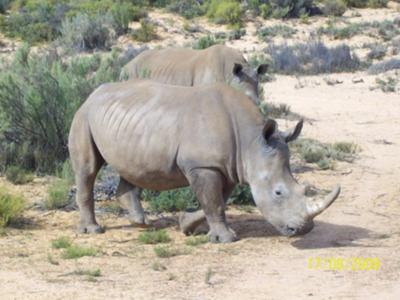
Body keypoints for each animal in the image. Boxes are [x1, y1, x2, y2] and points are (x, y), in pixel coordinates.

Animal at [69, 80, 340, 244]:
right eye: (278, 193)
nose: (303, 230)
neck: (251, 141)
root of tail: (92, 94)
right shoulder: (203, 165)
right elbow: (214, 202)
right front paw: (226, 239)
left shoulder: (228, 166)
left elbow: (218, 200)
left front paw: (187, 225)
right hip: (83, 117)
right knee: (88, 170)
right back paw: (93, 230)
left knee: (132, 167)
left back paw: (140, 222)